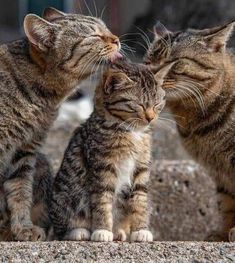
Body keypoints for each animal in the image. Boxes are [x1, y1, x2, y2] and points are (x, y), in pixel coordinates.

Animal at [0, 6, 121, 241]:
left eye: (106, 28)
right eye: (94, 35)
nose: (117, 38)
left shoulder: (25, 151)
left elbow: (20, 191)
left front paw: (23, 228)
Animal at [50, 60, 173, 243]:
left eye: (157, 104)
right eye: (139, 105)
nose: (151, 118)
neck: (132, 132)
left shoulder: (141, 167)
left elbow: (140, 200)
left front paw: (141, 230)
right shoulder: (102, 166)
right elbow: (102, 200)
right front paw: (102, 230)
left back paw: (119, 231)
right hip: (66, 197)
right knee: (64, 226)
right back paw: (79, 231)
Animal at [146, 21, 235, 242]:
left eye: (173, 61)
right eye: (149, 60)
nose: (150, 73)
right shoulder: (219, 171)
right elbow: (226, 202)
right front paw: (222, 233)